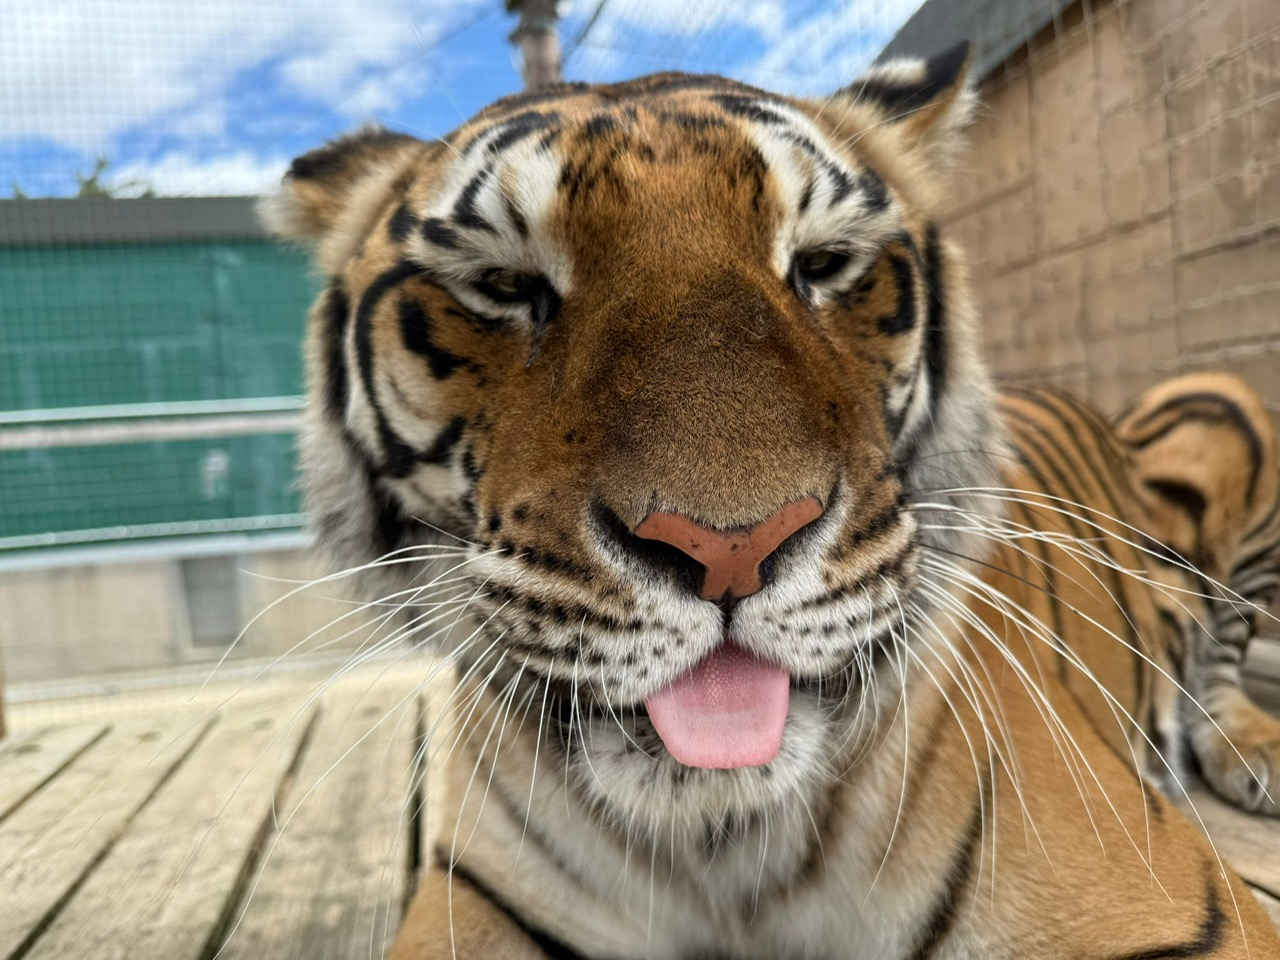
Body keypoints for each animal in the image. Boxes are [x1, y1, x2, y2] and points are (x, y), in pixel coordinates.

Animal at [262, 40, 1280, 960]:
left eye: (824, 264)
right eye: (502, 285)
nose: (730, 549)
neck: (715, 844)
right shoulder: (479, 894)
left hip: (1229, 410)